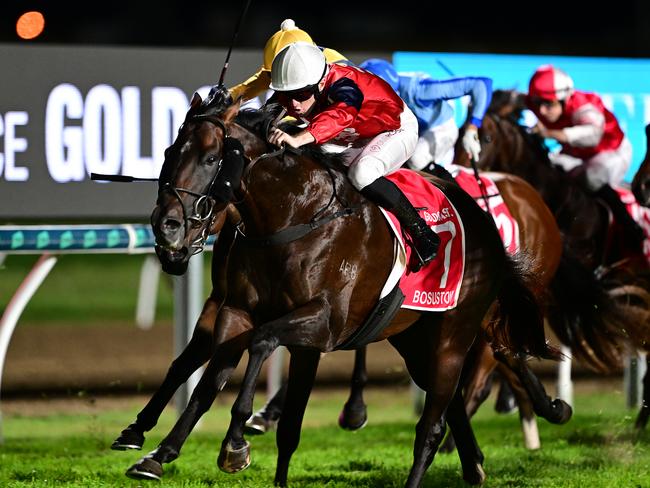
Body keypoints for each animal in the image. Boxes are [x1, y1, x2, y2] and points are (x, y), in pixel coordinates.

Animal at [123, 88, 560, 488]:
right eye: (168, 152)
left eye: (211, 159)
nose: (166, 228)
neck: (293, 217)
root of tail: (486, 222)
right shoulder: (236, 311)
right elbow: (210, 382)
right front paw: (157, 452)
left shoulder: (324, 323)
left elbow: (262, 342)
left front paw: (235, 441)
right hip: (414, 336)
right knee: (450, 399)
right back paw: (477, 461)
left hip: (453, 335)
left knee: (434, 423)